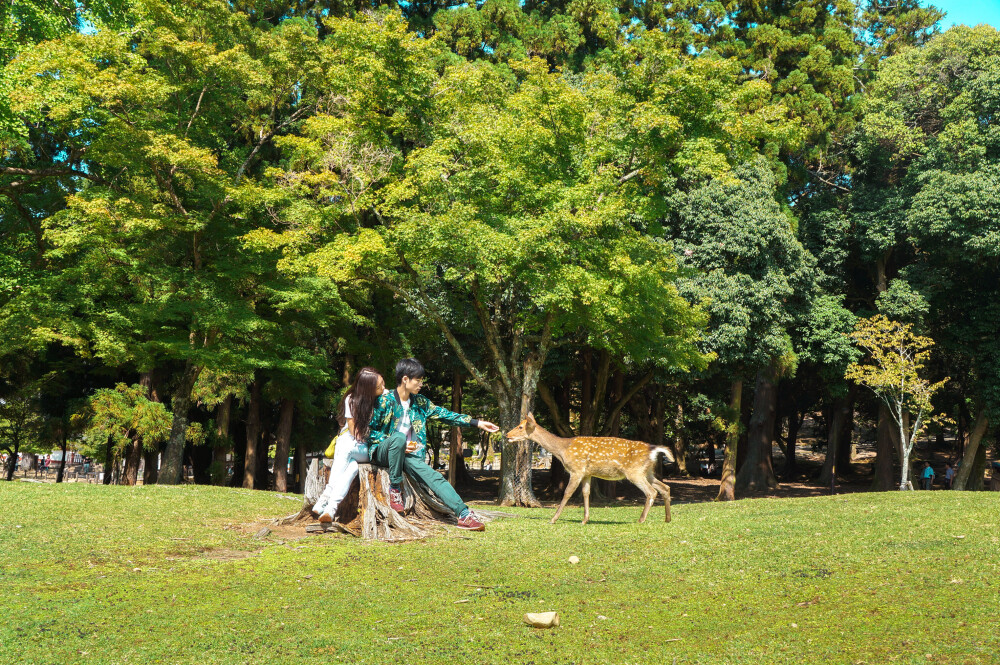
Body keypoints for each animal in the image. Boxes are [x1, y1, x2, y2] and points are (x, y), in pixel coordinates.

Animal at [508, 410, 672, 524]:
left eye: (520, 426)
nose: (507, 435)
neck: (562, 450)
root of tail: (653, 450)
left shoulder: (576, 470)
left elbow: (567, 492)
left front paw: (553, 519)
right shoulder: (587, 473)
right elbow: (586, 493)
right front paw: (585, 520)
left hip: (634, 472)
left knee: (651, 492)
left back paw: (641, 519)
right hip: (647, 471)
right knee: (665, 487)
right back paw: (667, 518)